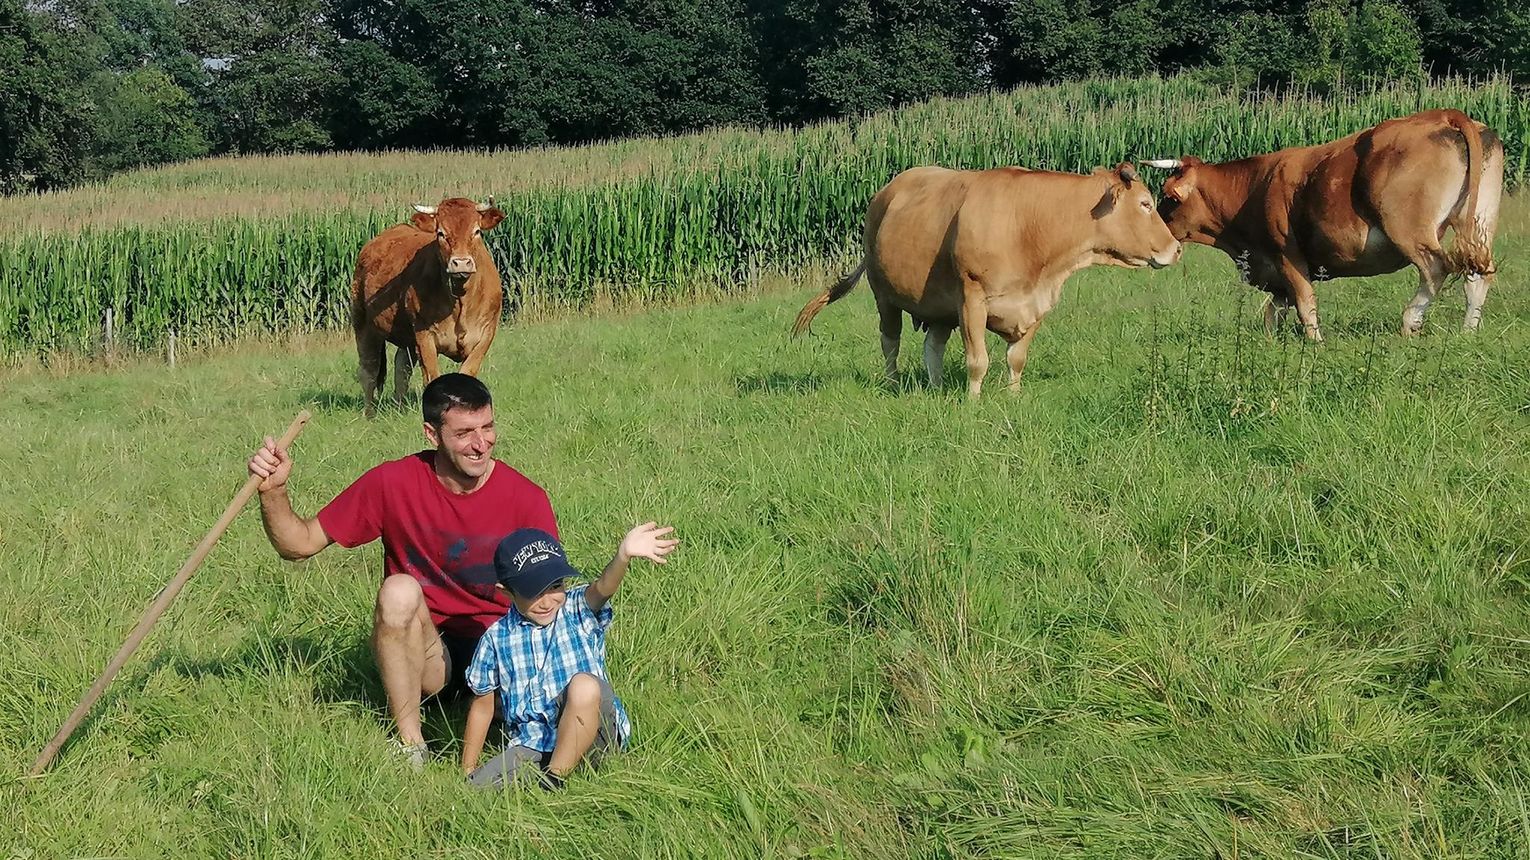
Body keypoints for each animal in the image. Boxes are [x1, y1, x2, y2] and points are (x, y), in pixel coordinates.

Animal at [351, 198, 507, 419]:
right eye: (441, 233)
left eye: (477, 231)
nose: (461, 263)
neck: (460, 301)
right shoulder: (424, 335)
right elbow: (432, 376)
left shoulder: (486, 333)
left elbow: (468, 372)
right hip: (363, 324)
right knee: (369, 370)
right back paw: (369, 413)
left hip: (405, 336)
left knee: (401, 367)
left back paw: (400, 407)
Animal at [795, 162, 1175, 397]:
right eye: (1145, 203)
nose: (1174, 249)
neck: (1029, 227)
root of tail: (885, 191)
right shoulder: (971, 298)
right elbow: (978, 361)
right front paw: (972, 403)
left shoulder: (1037, 304)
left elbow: (1016, 358)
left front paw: (1013, 396)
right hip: (884, 295)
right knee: (890, 342)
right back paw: (891, 383)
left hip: (939, 306)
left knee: (932, 345)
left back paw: (936, 388)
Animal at [1144, 110, 1499, 341]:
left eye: (1169, 197)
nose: (1159, 234)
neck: (1256, 185)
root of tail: (1443, 115)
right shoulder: (1275, 269)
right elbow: (1274, 310)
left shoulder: (1287, 255)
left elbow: (1304, 303)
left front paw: (1315, 344)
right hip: (1477, 222)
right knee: (1478, 275)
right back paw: (1468, 331)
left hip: (1409, 230)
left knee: (1437, 268)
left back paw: (1411, 320)